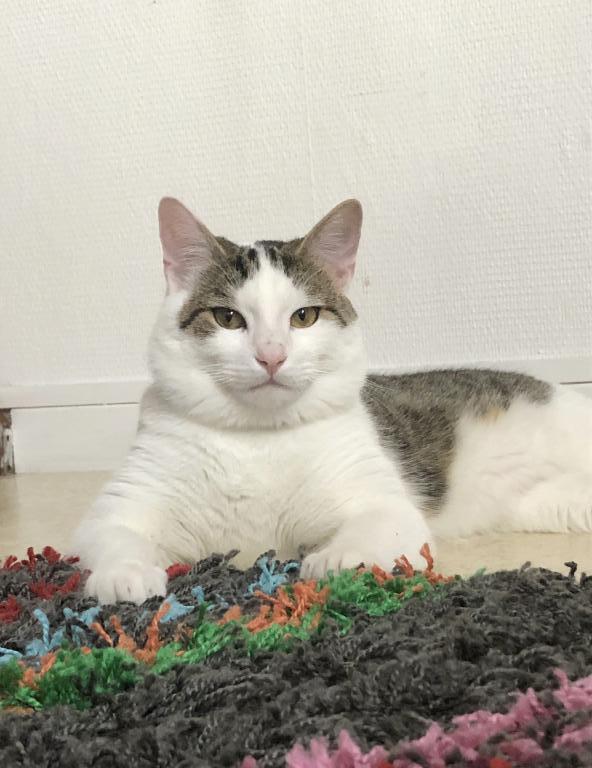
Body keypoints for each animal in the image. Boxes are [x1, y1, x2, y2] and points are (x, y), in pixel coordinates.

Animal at [73, 197, 592, 604]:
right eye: (227, 317)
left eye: (304, 317)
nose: (272, 355)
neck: (258, 439)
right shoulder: (120, 506)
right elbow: (111, 535)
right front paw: (126, 576)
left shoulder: (385, 504)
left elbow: (370, 532)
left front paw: (335, 561)